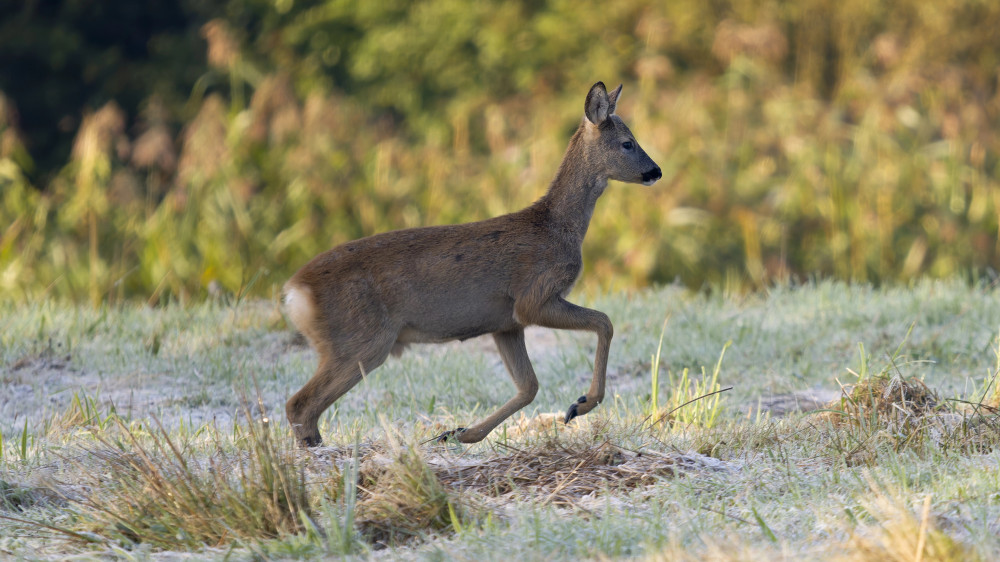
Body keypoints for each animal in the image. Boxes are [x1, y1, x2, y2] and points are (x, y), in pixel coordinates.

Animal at [284, 81, 656, 444]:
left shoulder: (506, 322)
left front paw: (460, 433)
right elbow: (604, 322)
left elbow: (529, 386)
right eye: (627, 143)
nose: (656, 171)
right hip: (362, 340)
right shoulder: (533, 297)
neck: (556, 227)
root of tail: (294, 291)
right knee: (299, 404)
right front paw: (581, 404)